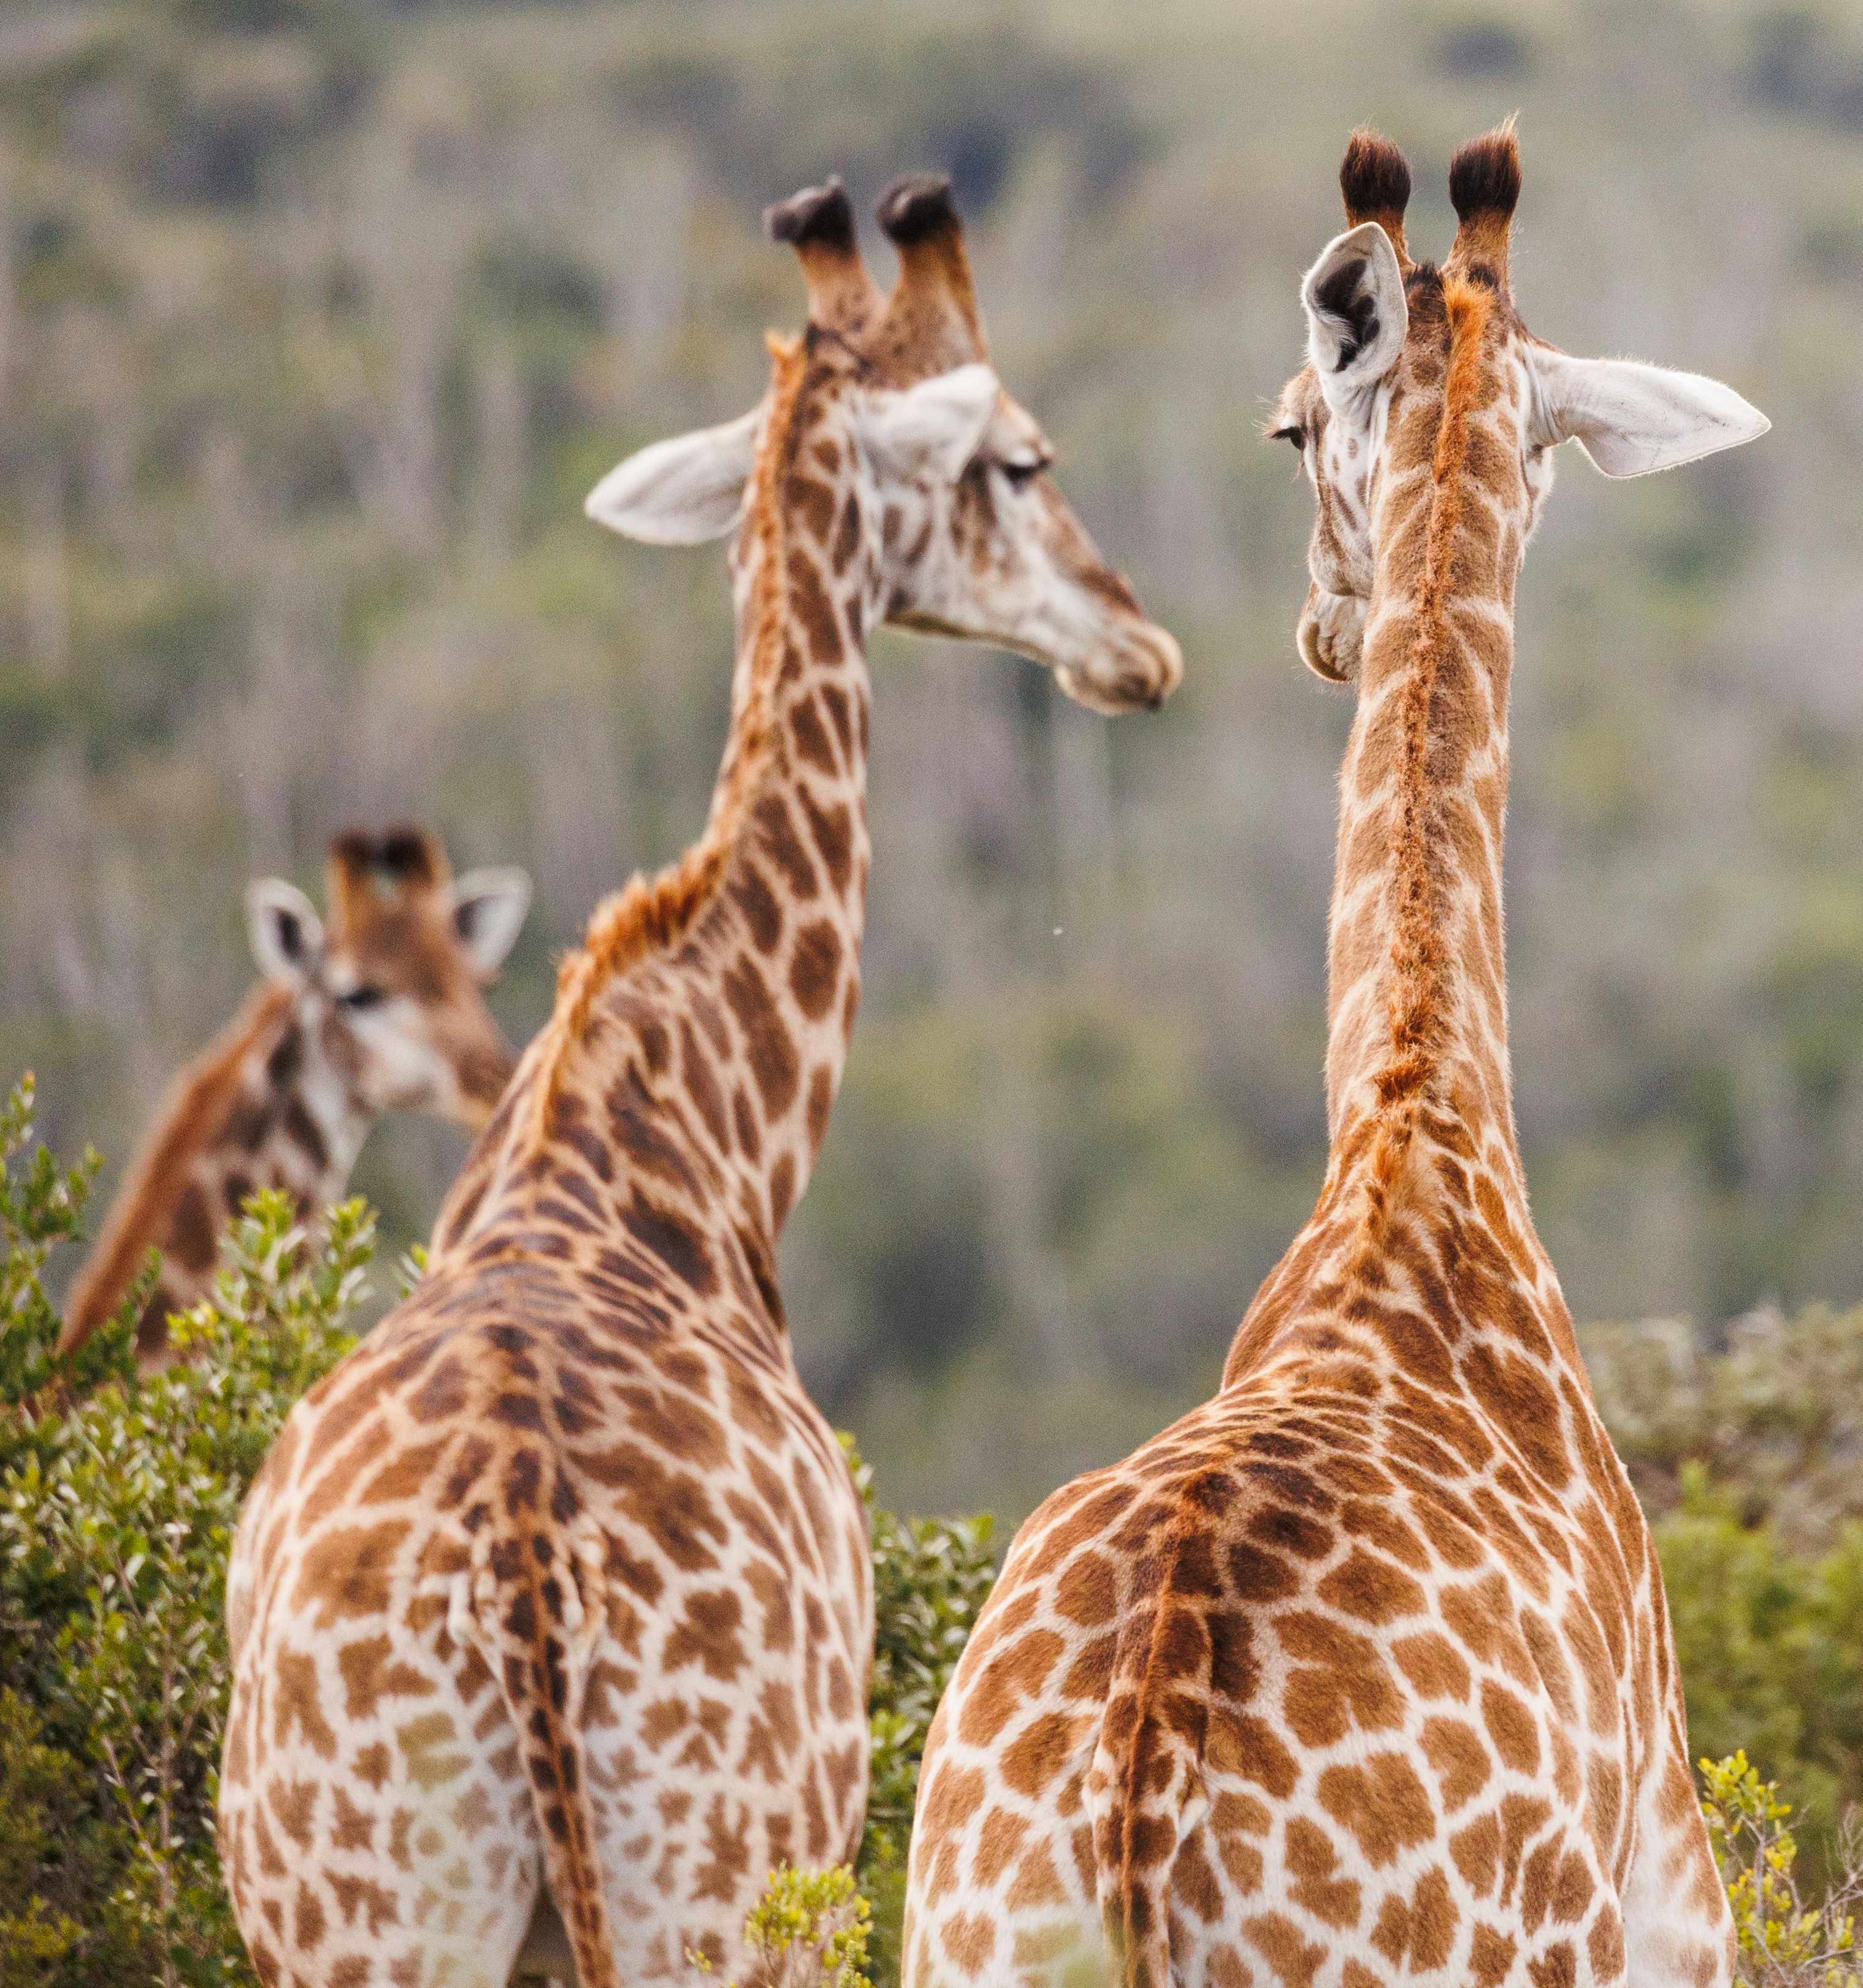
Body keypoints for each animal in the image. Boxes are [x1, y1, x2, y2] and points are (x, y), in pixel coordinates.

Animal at [215, 173, 1182, 1988]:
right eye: (1021, 456)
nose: (1137, 646)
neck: (675, 1117)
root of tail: (519, 1569)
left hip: (363, 1910)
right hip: (732, 1873)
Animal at [902, 126, 1769, 1988]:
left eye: (1292, 427)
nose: (1320, 621)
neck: (1414, 1124)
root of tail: (1132, 1826)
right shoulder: (1674, 1905)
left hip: (941, 1926)